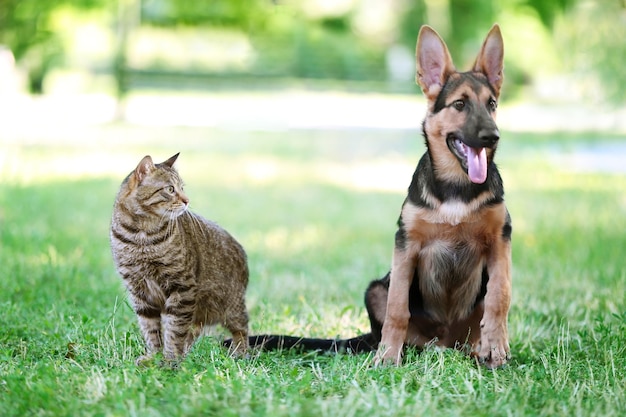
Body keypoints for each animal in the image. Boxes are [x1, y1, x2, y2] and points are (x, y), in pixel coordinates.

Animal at [109, 153, 249, 364]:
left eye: (182, 188)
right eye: (170, 189)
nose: (187, 200)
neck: (142, 236)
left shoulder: (181, 287)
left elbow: (174, 330)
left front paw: (170, 359)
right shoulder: (139, 291)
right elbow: (151, 329)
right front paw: (154, 356)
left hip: (230, 306)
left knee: (242, 328)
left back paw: (241, 353)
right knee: (193, 330)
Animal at [227, 23, 510, 368]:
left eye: (492, 104)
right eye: (460, 105)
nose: (492, 136)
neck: (457, 186)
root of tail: (444, 343)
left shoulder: (500, 240)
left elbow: (499, 297)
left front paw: (496, 346)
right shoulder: (406, 246)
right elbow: (397, 308)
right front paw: (388, 357)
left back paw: (479, 350)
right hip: (375, 289)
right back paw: (396, 349)